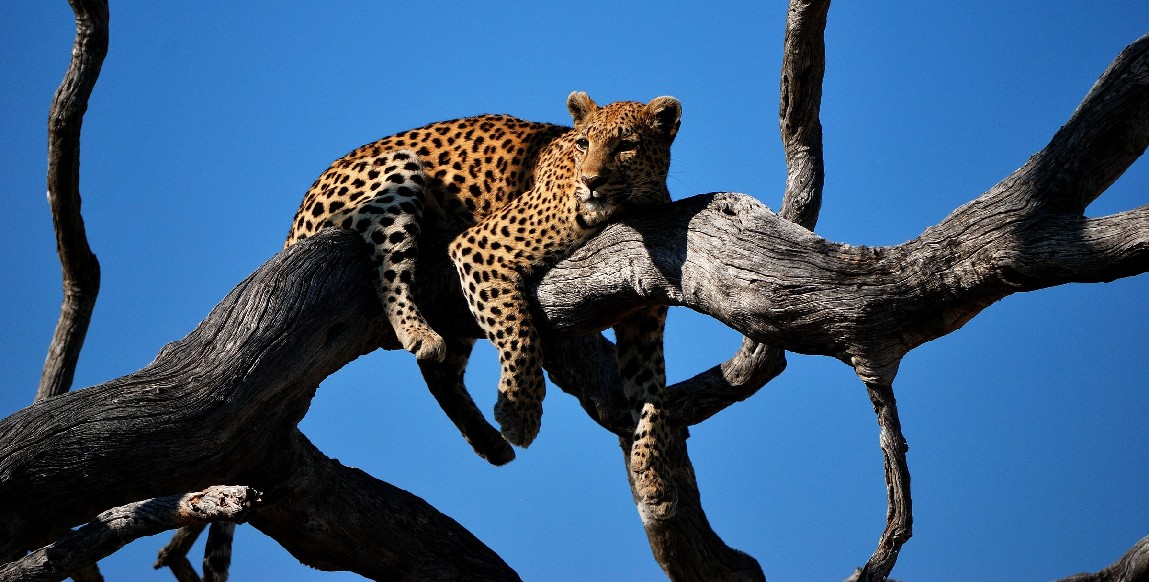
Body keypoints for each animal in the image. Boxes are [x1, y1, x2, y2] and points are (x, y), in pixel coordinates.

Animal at [287, 91, 680, 518]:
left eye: (626, 146)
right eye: (583, 144)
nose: (591, 182)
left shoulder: (644, 322)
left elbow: (653, 394)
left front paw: (655, 479)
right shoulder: (480, 247)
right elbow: (518, 331)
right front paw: (520, 414)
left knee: (441, 373)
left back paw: (489, 443)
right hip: (398, 173)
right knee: (388, 269)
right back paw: (419, 332)